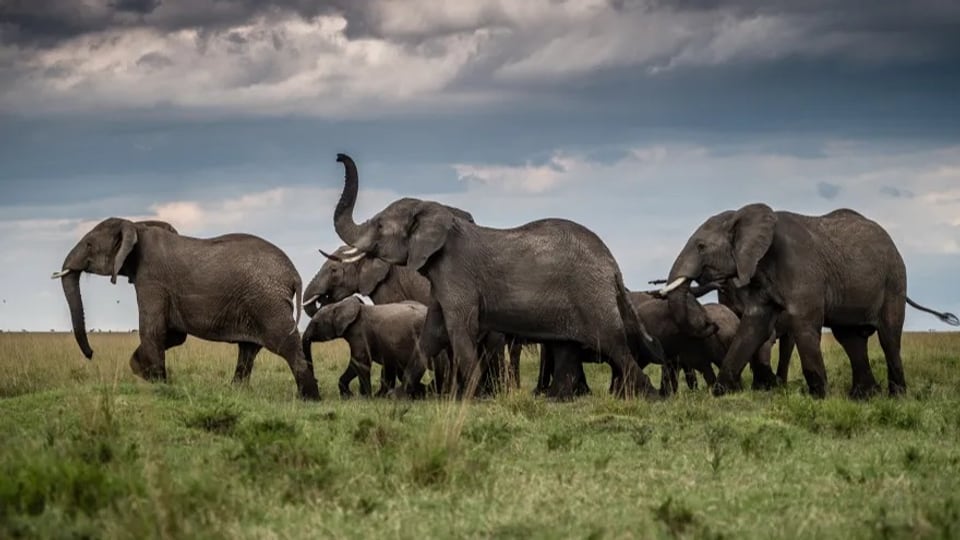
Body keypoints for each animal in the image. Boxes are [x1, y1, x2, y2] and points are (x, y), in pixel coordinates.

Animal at [52, 217, 320, 398]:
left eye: (88, 244)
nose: (91, 354)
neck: (136, 226)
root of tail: (294, 274)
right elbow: (174, 335)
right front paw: (141, 369)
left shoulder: (151, 279)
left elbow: (153, 330)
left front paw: (157, 382)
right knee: (248, 350)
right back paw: (236, 391)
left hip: (267, 302)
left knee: (286, 344)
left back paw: (308, 398)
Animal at [300, 296, 442, 396]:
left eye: (316, 323)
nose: (316, 381)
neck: (339, 305)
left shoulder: (359, 332)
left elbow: (360, 362)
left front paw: (364, 397)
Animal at [326, 154, 664, 398]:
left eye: (380, 226)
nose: (339, 156)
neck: (435, 213)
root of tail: (612, 264)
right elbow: (432, 333)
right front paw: (397, 397)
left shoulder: (456, 274)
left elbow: (459, 328)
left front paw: (469, 397)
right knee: (568, 348)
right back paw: (557, 398)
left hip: (590, 294)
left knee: (613, 344)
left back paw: (648, 395)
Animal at [664, 205, 956, 398]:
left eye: (701, 246)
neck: (744, 216)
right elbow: (752, 326)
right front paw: (720, 393)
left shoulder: (802, 272)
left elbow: (803, 324)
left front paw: (819, 397)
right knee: (851, 339)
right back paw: (863, 396)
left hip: (893, 280)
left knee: (889, 338)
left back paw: (896, 396)